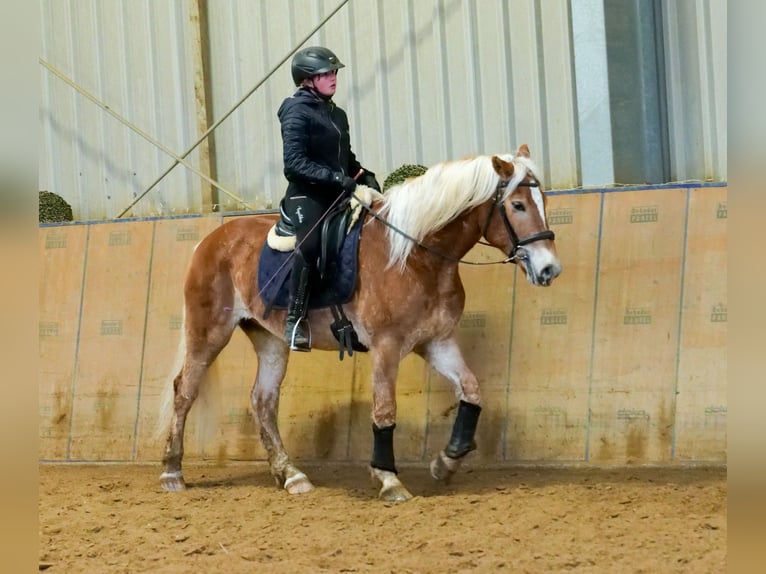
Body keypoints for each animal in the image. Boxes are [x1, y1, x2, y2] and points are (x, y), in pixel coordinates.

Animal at [158, 145, 564, 504]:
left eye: (542, 202)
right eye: (517, 205)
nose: (549, 269)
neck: (416, 256)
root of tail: (209, 241)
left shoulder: (437, 343)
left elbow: (471, 391)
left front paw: (446, 461)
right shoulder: (386, 346)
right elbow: (385, 410)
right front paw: (388, 479)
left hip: (270, 339)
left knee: (263, 400)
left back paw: (291, 475)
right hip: (208, 332)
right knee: (185, 391)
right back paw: (172, 472)